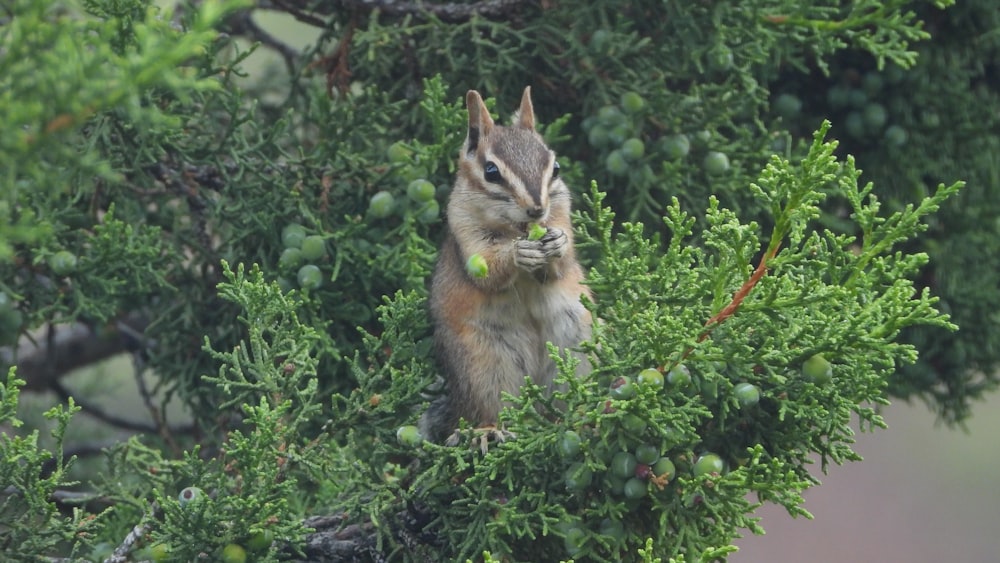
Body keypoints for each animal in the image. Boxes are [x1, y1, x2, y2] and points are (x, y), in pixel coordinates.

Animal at [420, 88, 592, 448]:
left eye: (555, 167)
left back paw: (579, 416)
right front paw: (517, 254)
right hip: (484, 366)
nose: (537, 209)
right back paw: (488, 430)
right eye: (491, 172)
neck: (516, 227)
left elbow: (561, 266)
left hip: (575, 348)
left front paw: (557, 244)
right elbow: (490, 270)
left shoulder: (561, 211)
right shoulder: (466, 232)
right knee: (490, 407)